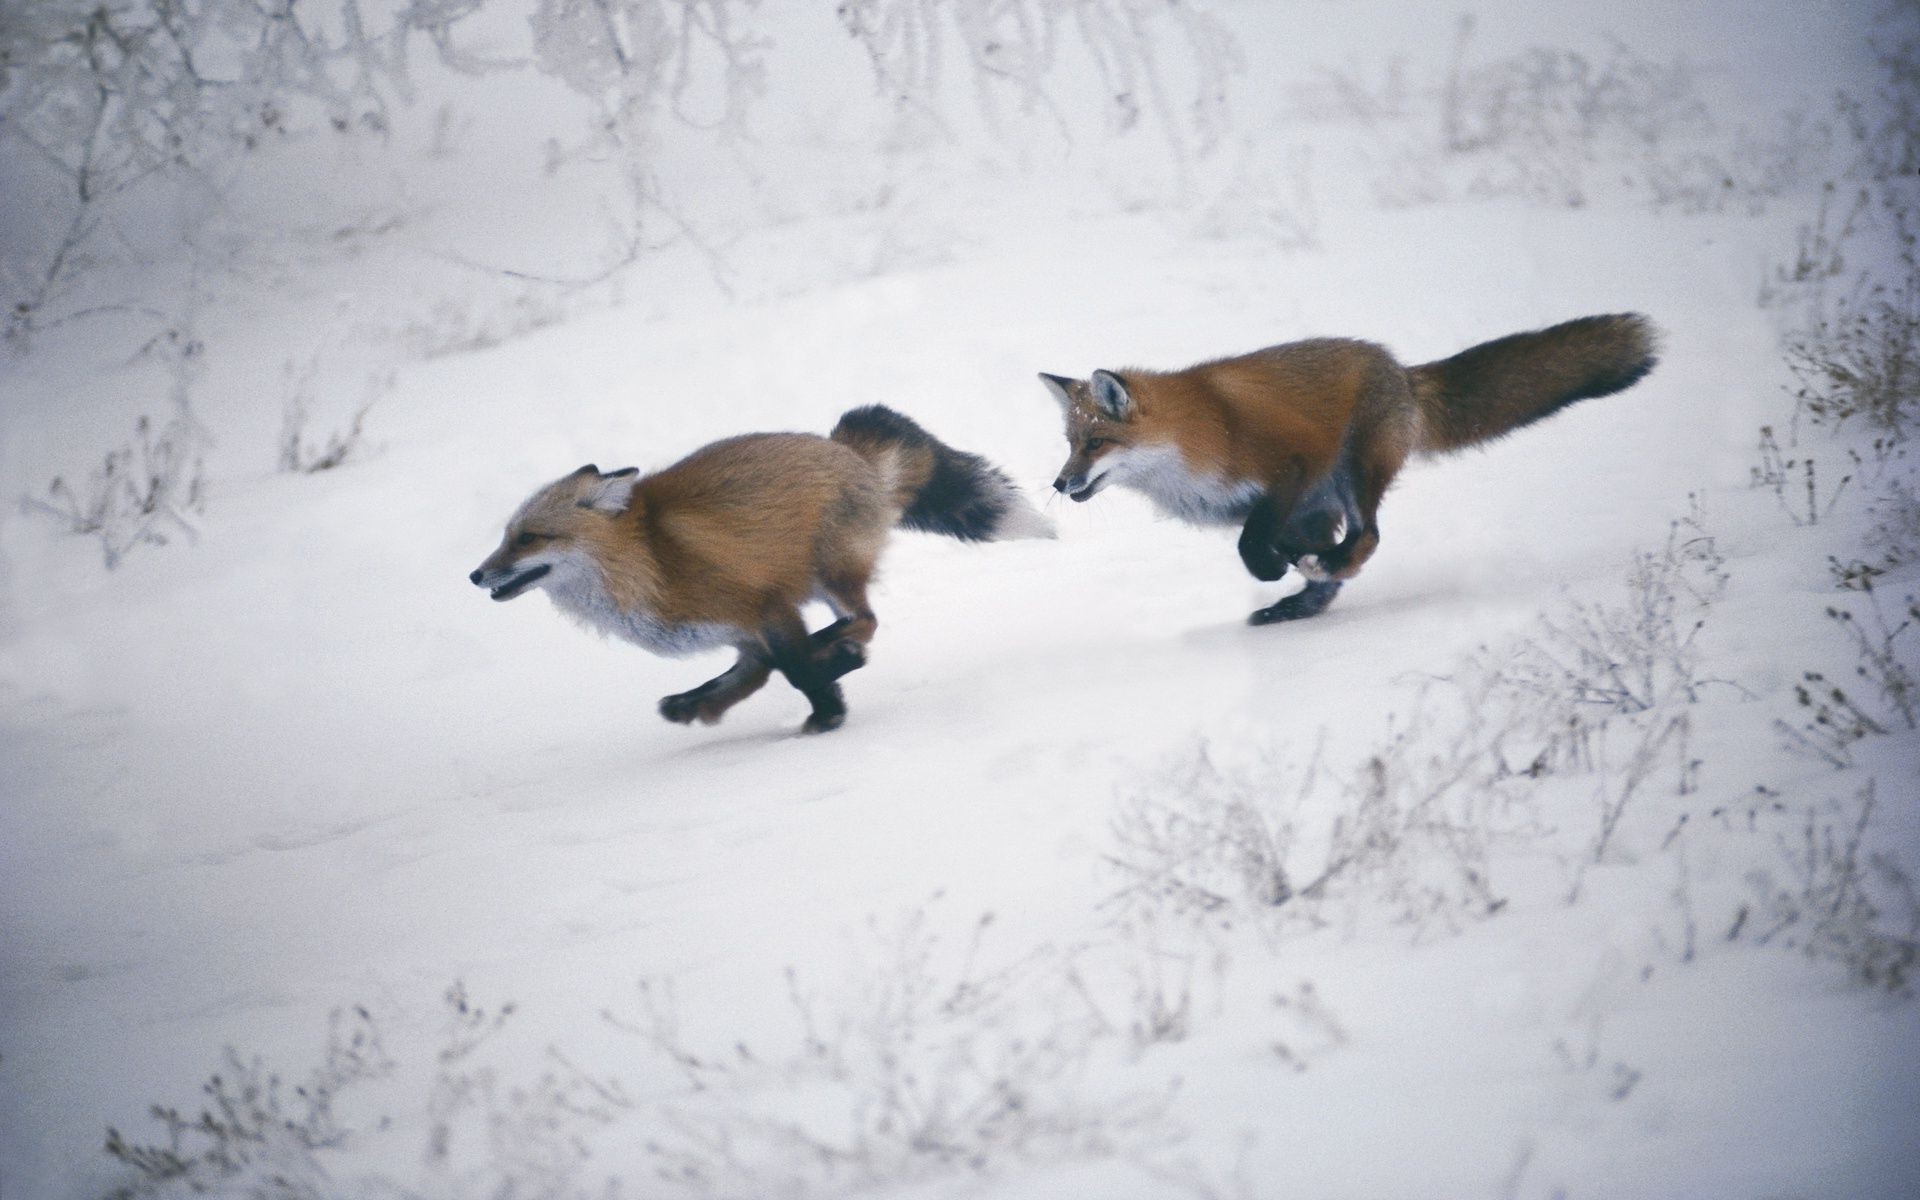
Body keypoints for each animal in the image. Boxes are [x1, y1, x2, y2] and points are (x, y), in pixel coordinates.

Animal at [474, 407, 1059, 733]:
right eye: (505, 536)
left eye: (528, 538)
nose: (475, 577)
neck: (649, 560)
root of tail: (843, 447)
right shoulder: (740, 633)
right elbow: (750, 674)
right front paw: (697, 706)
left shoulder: (766, 607)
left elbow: (793, 669)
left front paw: (827, 714)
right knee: (833, 636)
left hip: (830, 573)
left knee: (864, 622)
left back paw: (837, 652)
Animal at [1044, 309, 1658, 622]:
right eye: (1070, 443)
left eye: (1095, 443)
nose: (1059, 482)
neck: (1188, 444)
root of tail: (1401, 371)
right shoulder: (1266, 509)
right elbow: (1270, 543)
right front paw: (1287, 574)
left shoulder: (1293, 464)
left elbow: (1252, 543)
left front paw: (1273, 571)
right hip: (1329, 498)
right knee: (1342, 563)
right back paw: (1298, 603)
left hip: (1352, 470)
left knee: (1368, 539)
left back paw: (1321, 573)